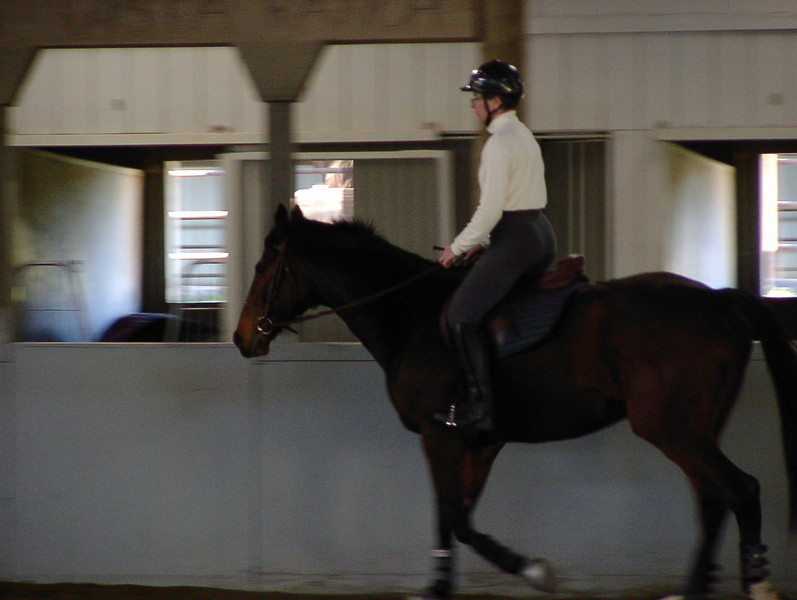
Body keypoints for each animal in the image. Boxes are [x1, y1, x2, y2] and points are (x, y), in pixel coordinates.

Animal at [233, 204, 797, 600]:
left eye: (263, 266)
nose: (242, 338)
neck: (412, 315)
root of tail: (717, 300)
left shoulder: (441, 435)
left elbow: (455, 518)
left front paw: (530, 571)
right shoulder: (480, 442)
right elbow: (456, 518)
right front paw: (454, 583)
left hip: (672, 428)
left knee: (740, 490)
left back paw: (756, 582)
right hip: (697, 429)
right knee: (713, 501)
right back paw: (693, 589)